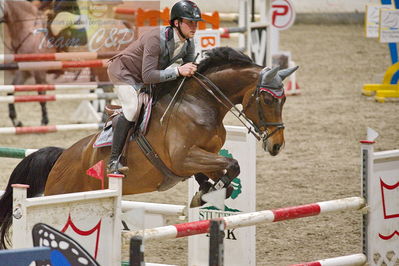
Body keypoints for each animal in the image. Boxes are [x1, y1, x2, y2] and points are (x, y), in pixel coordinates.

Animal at [0, 46, 296, 248]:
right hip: (61, 193)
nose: (276, 145)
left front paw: (207, 192)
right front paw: (208, 193)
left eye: (284, 100)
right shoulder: (183, 158)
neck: (201, 103)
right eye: (269, 99)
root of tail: (61, 157)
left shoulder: (202, 157)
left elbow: (226, 171)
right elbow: (230, 165)